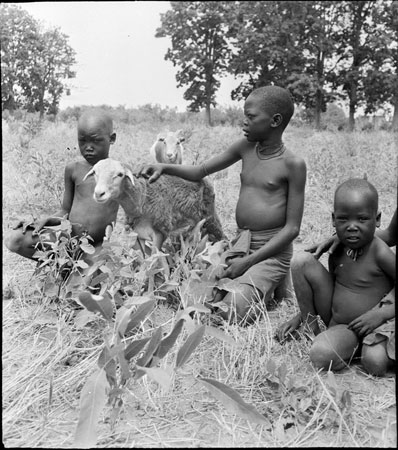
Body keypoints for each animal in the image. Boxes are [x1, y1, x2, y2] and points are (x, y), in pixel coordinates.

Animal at [83, 157, 224, 250]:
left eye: (120, 174)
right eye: (95, 172)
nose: (99, 193)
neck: (142, 199)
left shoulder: (161, 232)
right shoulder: (139, 234)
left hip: (210, 218)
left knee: (221, 237)